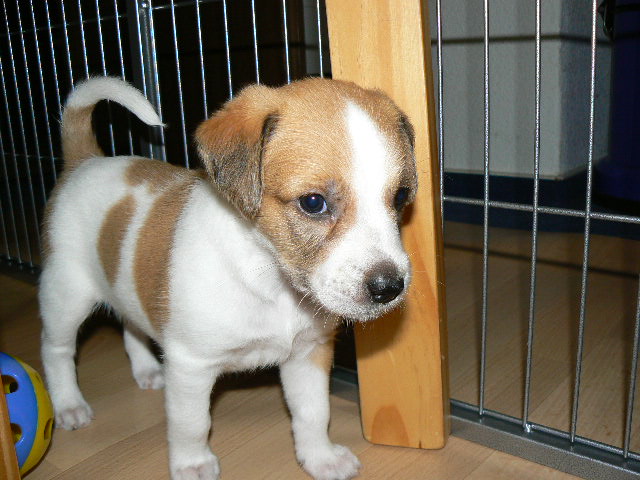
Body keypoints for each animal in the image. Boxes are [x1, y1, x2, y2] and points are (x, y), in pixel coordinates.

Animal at [39, 76, 417, 480]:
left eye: (400, 197)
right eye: (313, 203)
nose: (389, 288)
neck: (271, 282)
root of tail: (85, 161)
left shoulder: (307, 353)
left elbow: (314, 413)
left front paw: (321, 458)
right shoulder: (191, 366)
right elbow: (192, 424)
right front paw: (192, 464)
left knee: (131, 324)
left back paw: (146, 371)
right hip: (67, 296)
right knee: (56, 350)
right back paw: (68, 404)